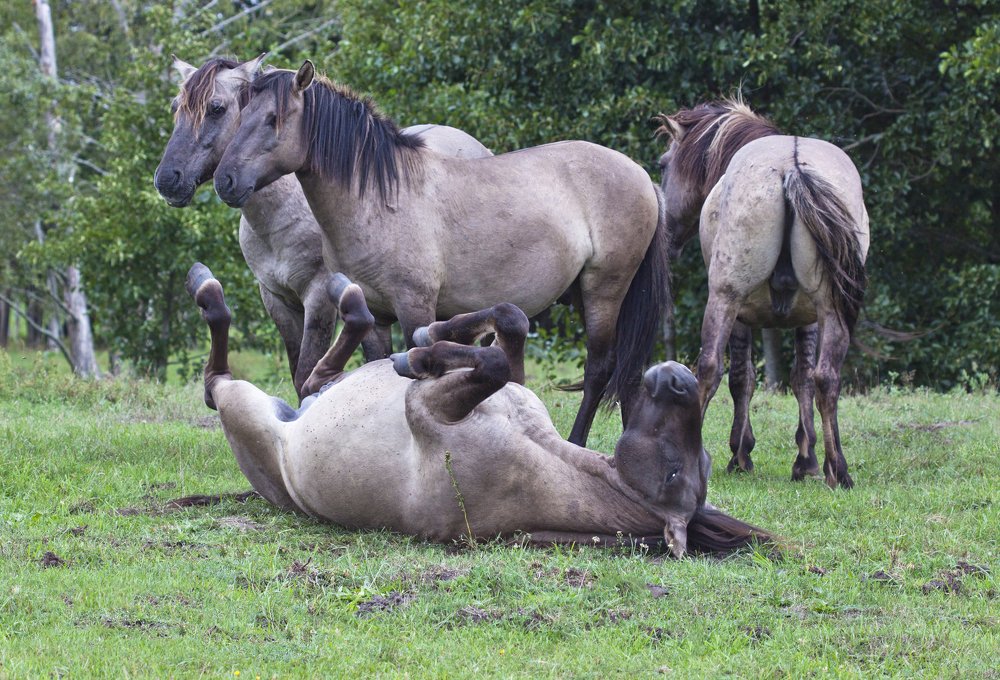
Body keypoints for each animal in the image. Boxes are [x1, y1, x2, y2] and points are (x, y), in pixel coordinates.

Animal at [153, 55, 493, 400]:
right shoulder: (276, 299)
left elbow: (307, 370)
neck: (280, 218)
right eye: (176, 107)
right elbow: (297, 372)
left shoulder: (319, 296)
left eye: (216, 108)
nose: (167, 179)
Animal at [186, 261, 771, 557]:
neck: (542, 454)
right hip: (301, 395)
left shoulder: (424, 408)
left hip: (245, 406)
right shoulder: (508, 381)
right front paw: (434, 334)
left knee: (216, 382)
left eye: (675, 474)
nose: (679, 379)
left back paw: (209, 289)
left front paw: (421, 354)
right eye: (693, 465)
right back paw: (349, 298)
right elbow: (510, 326)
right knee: (320, 372)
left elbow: (488, 363)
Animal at [212, 60, 670, 446]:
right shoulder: (374, 315)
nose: (224, 181)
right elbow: (374, 369)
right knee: (629, 374)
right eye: (240, 117)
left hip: (603, 290)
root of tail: (641, 175)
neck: (380, 200)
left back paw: (576, 442)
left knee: (600, 369)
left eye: (273, 119)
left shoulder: (416, 307)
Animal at [654, 99, 869, 489]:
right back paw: (838, 470)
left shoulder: (741, 315)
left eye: (664, 164)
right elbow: (803, 379)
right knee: (827, 378)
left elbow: (741, 380)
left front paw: (740, 455)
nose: (667, 236)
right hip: (832, 310)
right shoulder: (809, 319)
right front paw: (807, 461)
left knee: (709, 368)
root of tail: (792, 168)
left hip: (724, 298)